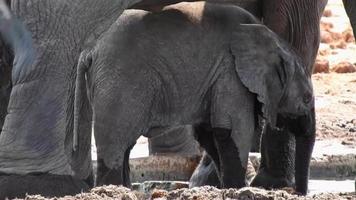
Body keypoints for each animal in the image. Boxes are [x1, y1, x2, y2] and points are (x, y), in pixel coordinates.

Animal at [73, 1, 312, 189]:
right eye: (307, 98)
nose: (300, 192)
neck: (270, 38)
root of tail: (89, 51)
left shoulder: (217, 77)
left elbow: (208, 133)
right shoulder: (230, 73)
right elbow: (235, 131)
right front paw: (237, 188)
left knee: (124, 146)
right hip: (119, 83)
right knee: (115, 143)